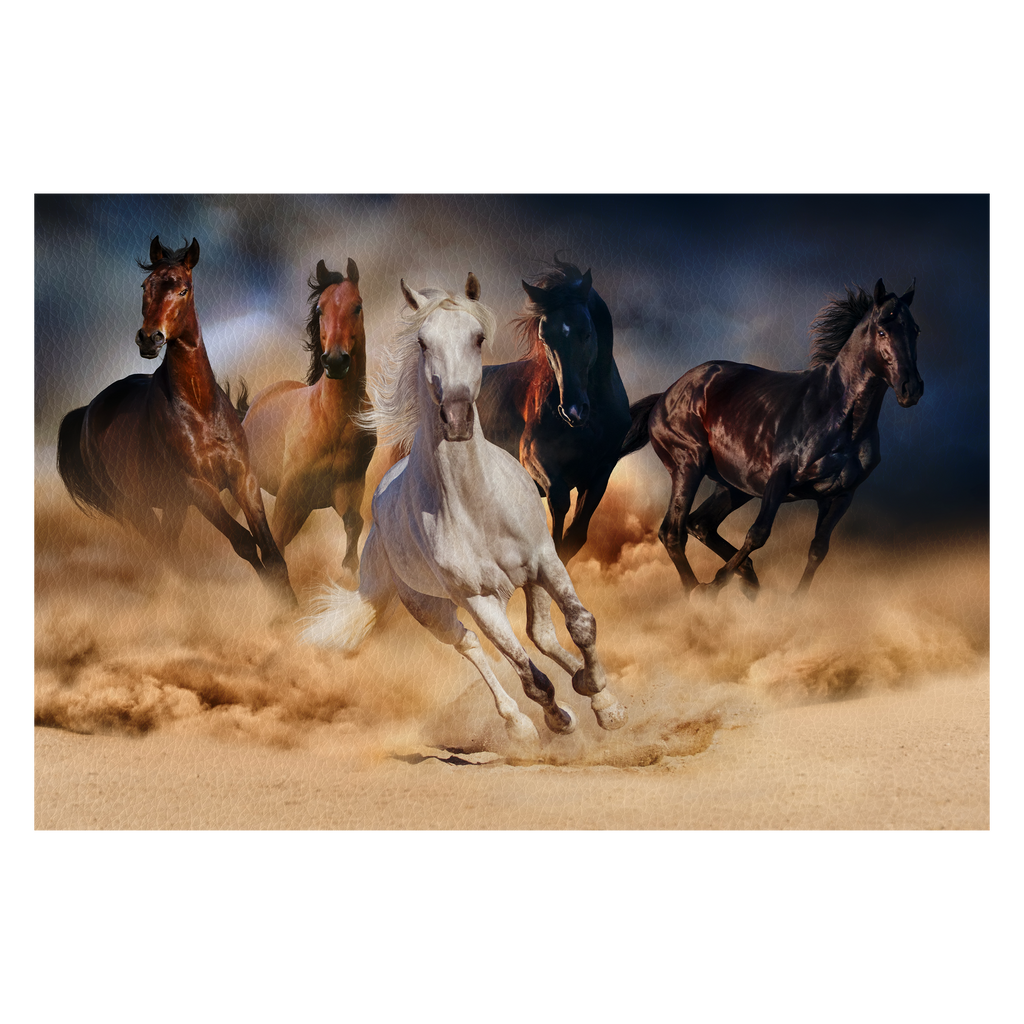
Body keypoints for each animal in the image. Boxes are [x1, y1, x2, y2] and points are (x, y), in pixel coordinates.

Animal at [55, 237, 294, 606]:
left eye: (183, 289)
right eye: (145, 286)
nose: (149, 338)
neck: (199, 408)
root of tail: (88, 411)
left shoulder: (243, 478)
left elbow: (269, 549)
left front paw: (294, 608)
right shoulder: (197, 486)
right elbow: (244, 543)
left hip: (172, 505)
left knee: (169, 547)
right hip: (135, 507)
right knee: (165, 552)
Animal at [235, 258, 376, 577]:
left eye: (357, 306)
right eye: (320, 309)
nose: (335, 360)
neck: (332, 419)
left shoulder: (346, 489)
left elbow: (354, 526)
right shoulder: (291, 496)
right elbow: (275, 546)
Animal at [473, 256, 630, 561]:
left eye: (587, 333)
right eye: (545, 338)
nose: (573, 411)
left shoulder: (600, 473)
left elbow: (575, 535)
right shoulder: (534, 458)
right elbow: (558, 506)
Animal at [618, 280, 925, 598]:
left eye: (915, 330)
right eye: (882, 331)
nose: (911, 389)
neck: (838, 416)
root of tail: (665, 395)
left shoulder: (841, 495)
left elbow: (818, 549)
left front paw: (794, 601)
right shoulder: (780, 478)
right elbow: (758, 534)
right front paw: (715, 586)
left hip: (733, 486)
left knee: (700, 524)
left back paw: (747, 578)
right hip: (688, 465)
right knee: (673, 531)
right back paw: (698, 592)